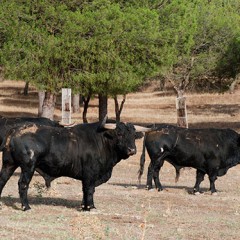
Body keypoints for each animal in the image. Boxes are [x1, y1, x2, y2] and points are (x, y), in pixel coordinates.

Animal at [0, 119, 149, 211]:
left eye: (134, 135)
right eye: (119, 133)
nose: (132, 150)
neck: (102, 140)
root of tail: (15, 130)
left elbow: (86, 190)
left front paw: (84, 206)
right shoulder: (90, 174)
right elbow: (89, 190)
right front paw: (90, 207)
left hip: (8, 164)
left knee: (2, 181)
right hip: (28, 167)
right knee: (23, 184)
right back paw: (26, 207)